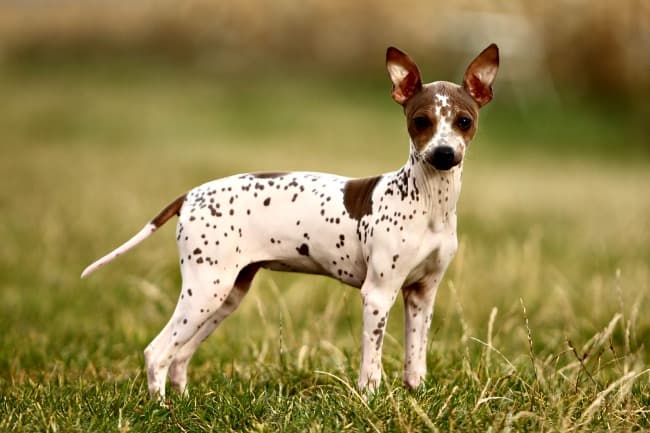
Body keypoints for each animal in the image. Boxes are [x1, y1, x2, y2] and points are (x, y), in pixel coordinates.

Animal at [81, 44, 496, 398]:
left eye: (464, 121)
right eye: (421, 121)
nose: (444, 154)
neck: (427, 202)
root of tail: (190, 195)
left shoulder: (422, 294)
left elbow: (416, 361)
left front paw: (414, 395)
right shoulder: (378, 295)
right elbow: (372, 367)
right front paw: (370, 400)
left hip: (225, 295)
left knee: (179, 356)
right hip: (205, 290)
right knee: (157, 352)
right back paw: (162, 408)